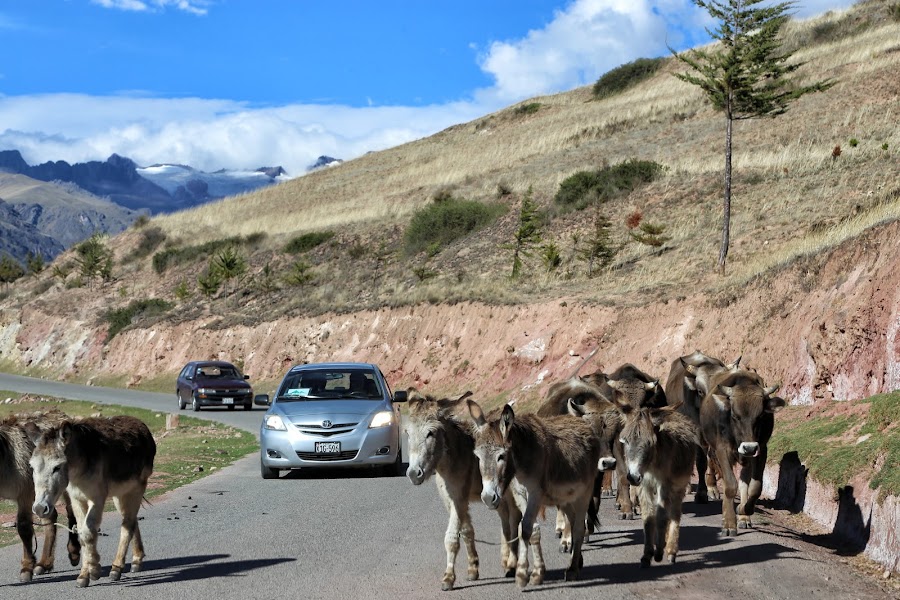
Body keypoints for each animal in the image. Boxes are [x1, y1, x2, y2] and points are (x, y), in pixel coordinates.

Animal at [468, 400, 600, 588]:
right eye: (478, 457)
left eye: (501, 456)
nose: (487, 498)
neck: (522, 461)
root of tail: (581, 421)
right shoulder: (519, 493)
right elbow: (528, 529)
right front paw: (534, 573)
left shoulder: (536, 493)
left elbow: (526, 528)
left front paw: (525, 574)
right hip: (565, 498)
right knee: (574, 521)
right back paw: (577, 560)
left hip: (584, 493)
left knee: (579, 528)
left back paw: (573, 570)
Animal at [700, 370, 784, 536]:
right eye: (735, 416)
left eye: (760, 416)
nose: (749, 448)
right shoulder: (722, 450)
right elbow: (730, 486)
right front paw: (729, 524)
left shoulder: (761, 450)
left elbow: (755, 487)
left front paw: (743, 510)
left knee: (744, 480)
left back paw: (744, 518)